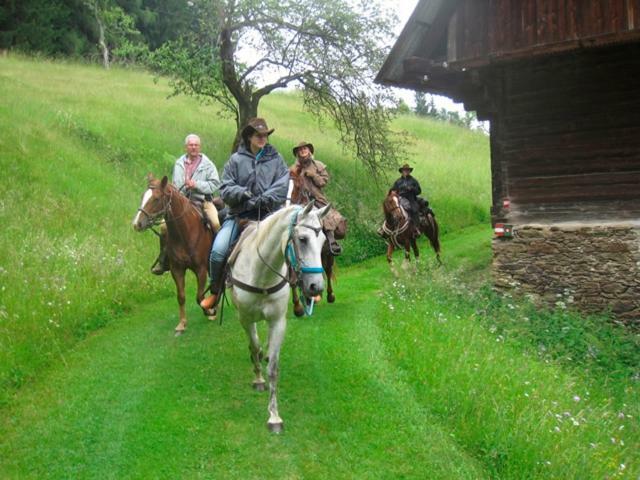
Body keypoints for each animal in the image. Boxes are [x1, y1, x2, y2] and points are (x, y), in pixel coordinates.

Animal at [132, 174, 215, 336]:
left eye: (156, 198)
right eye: (142, 196)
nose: (137, 224)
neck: (185, 232)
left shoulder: (201, 269)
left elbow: (199, 296)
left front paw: (209, 312)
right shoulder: (177, 270)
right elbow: (181, 296)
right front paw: (182, 324)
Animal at [228, 201, 330, 434]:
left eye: (323, 241)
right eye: (303, 239)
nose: (316, 287)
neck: (261, 274)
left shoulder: (277, 322)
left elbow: (273, 368)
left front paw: (274, 416)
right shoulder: (245, 318)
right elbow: (254, 347)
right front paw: (258, 379)